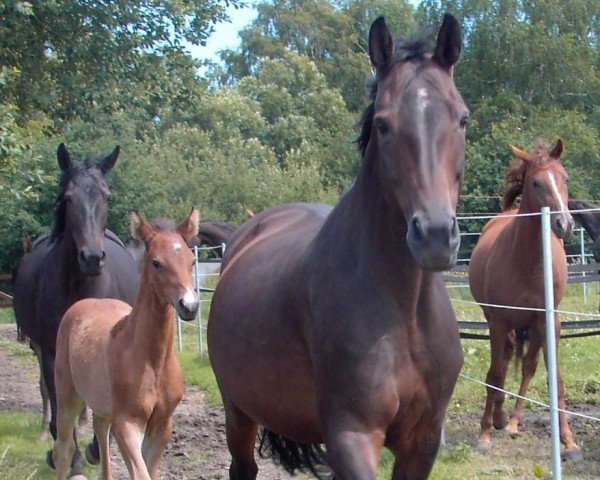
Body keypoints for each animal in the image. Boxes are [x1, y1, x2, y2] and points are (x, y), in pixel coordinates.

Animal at [12, 143, 139, 476]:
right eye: (68, 198)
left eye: (106, 195)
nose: (92, 258)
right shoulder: (49, 351)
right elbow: (59, 405)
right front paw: (75, 459)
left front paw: (95, 449)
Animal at [50, 209, 198, 480]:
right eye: (156, 263)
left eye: (192, 260)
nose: (189, 306)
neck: (152, 360)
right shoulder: (127, 423)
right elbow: (140, 473)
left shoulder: (162, 425)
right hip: (67, 396)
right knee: (63, 449)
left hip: (102, 406)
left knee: (100, 430)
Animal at [209, 13, 466, 478]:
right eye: (382, 124)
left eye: (462, 119)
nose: (436, 235)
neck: (403, 312)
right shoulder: (351, 436)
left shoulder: (422, 442)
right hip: (237, 410)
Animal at [468, 139, 580, 462]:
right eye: (536, 182)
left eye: (565, 178)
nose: (564, 224)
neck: (527, 260)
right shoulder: (498, 321)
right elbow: (495, 373)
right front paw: (483, 435)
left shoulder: (550, 320)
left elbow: (554, 379)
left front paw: (568, 441)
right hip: (500, 323)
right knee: (504, 361)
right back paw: (498, 417)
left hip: (534, 326)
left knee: (527, 365)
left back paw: (513, 422)